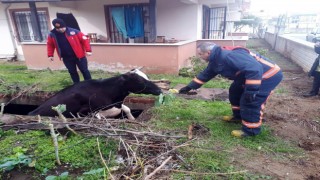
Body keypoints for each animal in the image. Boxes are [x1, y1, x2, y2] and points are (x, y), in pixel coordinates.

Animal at [27, 69, 161, 118]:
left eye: (147, 76)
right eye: (139, 80)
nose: (159, 90)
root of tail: (31, 112)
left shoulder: (116, 103)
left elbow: (127, 109)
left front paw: (132, 119)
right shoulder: (85, 111)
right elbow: (98, 116)